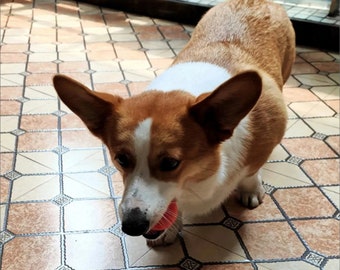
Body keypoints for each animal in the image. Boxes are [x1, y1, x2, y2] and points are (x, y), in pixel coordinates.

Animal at [53, 0, 294, 246]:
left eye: (170, 163)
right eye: (121, 159)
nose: (132, 226)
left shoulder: (265, 141)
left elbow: (250, 172)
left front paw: (250, 189)